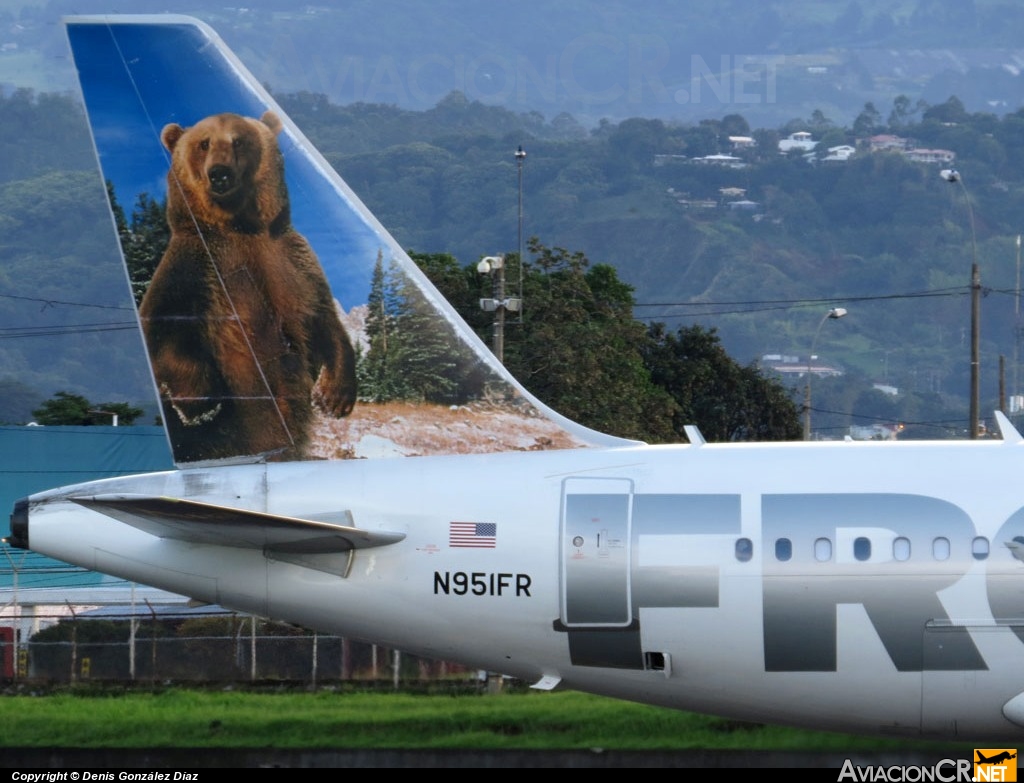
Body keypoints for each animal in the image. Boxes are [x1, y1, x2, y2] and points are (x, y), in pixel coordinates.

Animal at [140, 110, 356, 464]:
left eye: (239, 140)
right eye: (203, 143)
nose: (220, 174)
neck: (237, 227)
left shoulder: (293, 264)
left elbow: (323, 320)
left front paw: (334, 396)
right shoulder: (196, 269)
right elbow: (164, 327)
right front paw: (200, 404)